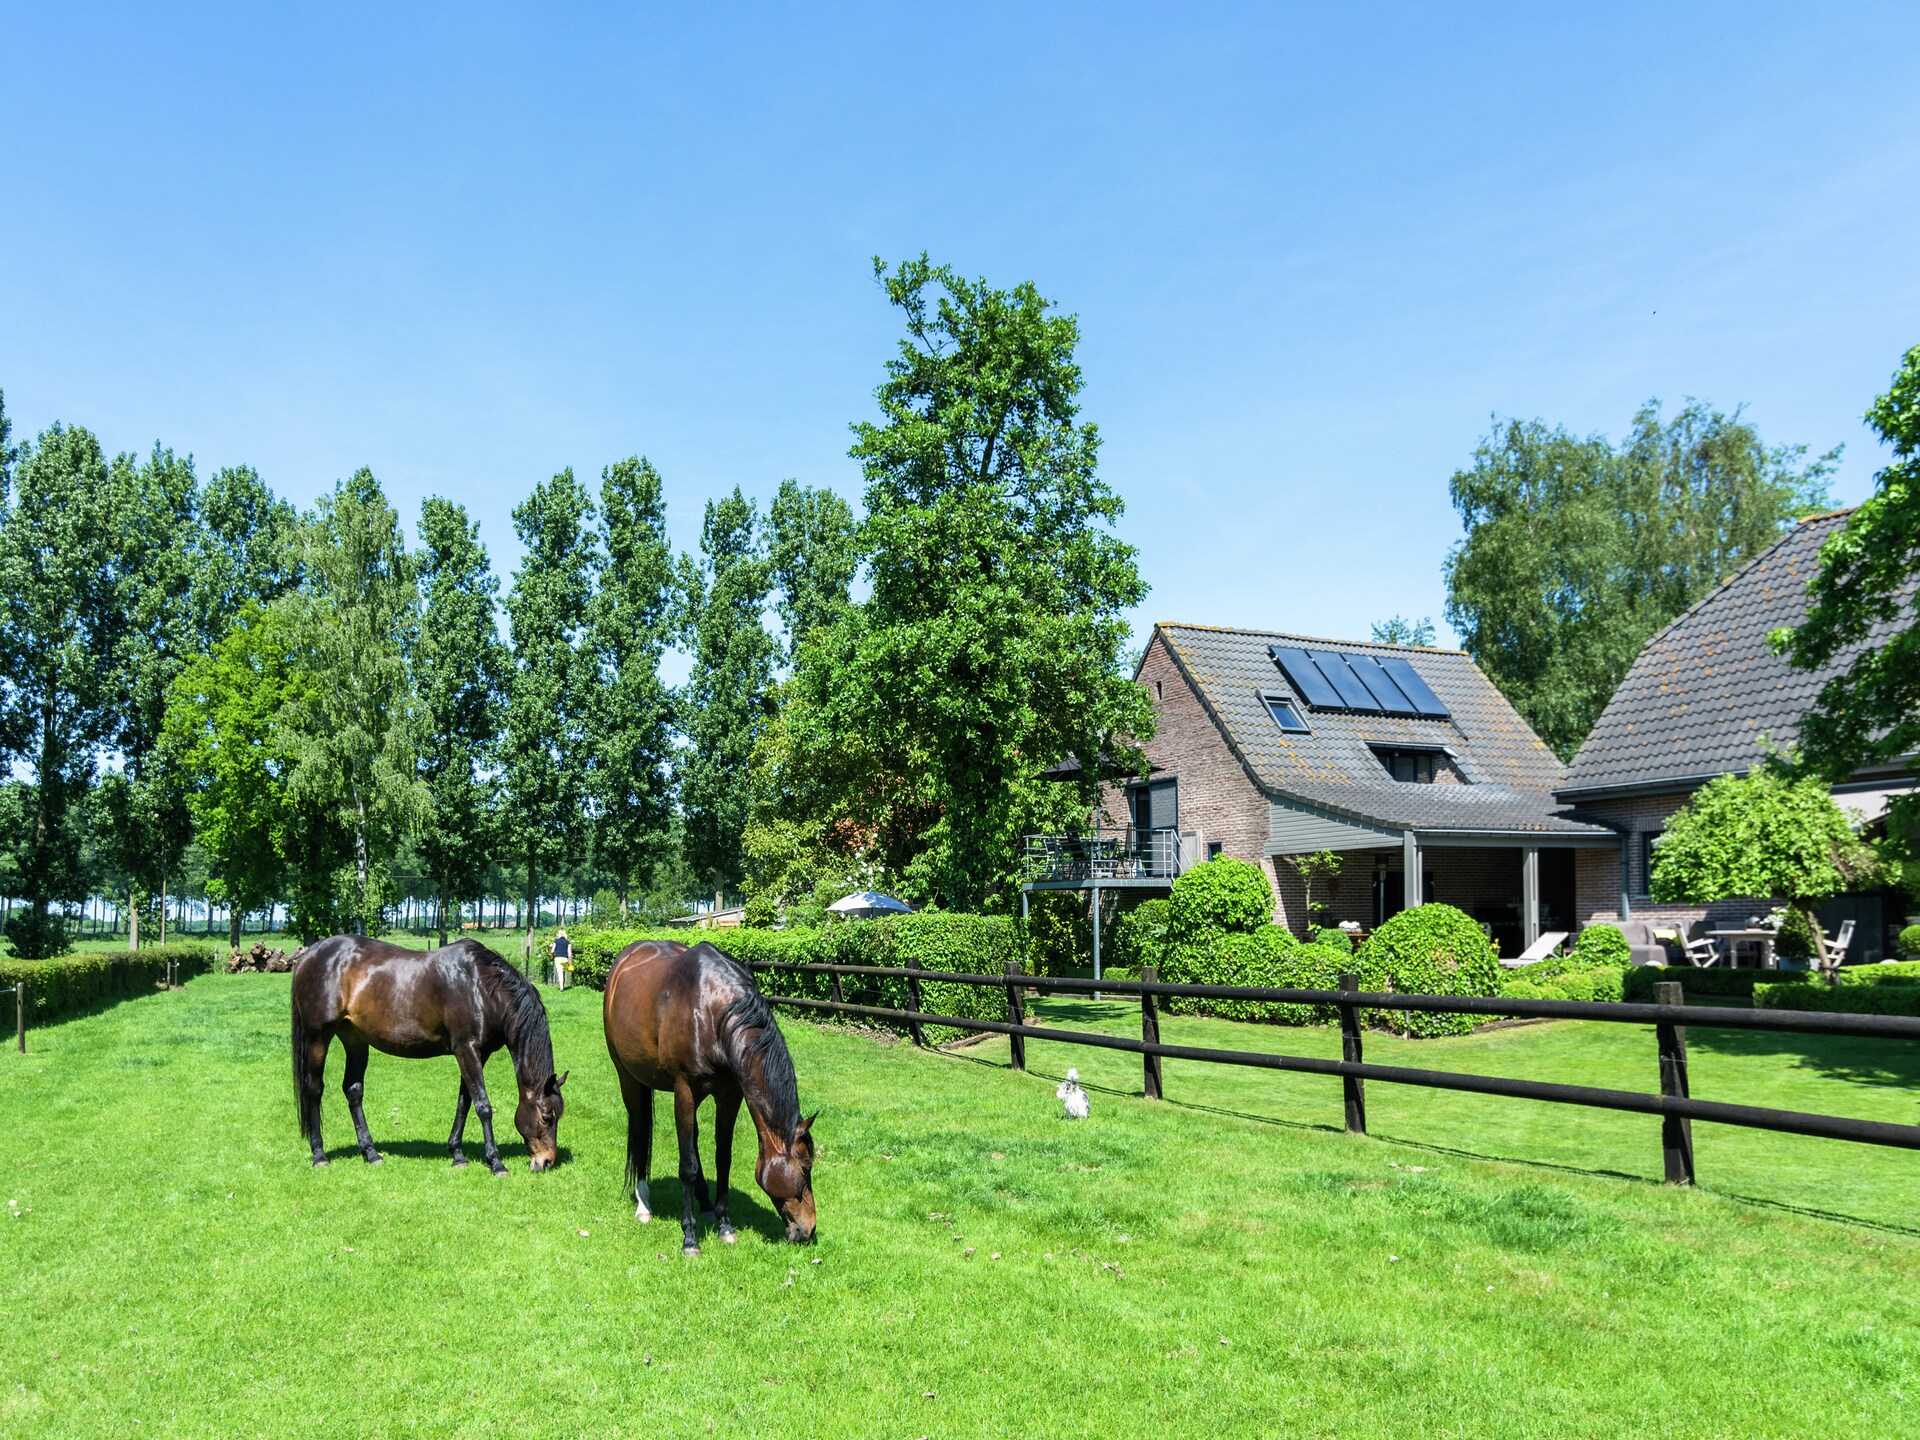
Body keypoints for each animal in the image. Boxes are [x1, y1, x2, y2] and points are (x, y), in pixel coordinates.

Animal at [290, 935, 568, 1175]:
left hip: (355, 1039)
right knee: (314, 1089)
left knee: (353, 1089)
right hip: (318, 1037)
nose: (546, 1162)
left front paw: (457, 1154)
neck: (481, 988)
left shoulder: (478, 1053)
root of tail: (308, 956)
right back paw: (320, 1155)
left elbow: (465, 1101)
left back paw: (371, 1153)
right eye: (546, 1117)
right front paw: (496, 1163)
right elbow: (483, 1105)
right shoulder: (466, 1048)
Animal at [602, 939, 817, 1255]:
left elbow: (722, 1158)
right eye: (806, 1167)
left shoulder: (729, 1094)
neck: (713, 1014)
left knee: (693, 1140)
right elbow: (687, 1166)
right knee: (640, 1130)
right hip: (628, 1077)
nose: (809, 1229)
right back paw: (643, 1204)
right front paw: (690, 1239)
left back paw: (704, 1203)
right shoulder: (684, 1091)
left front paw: (725, 1226)